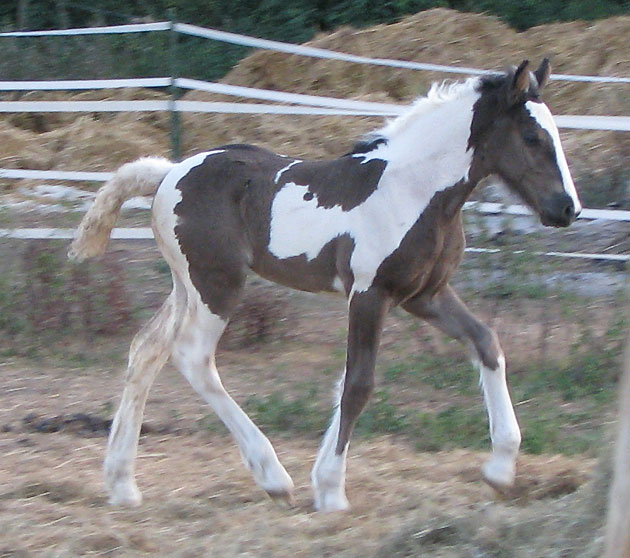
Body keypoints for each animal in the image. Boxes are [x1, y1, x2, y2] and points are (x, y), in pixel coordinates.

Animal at [69, 59, 584, 516]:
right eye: (533, 137)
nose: (567, 208)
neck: (413, 192)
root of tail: (167, 174)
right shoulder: (369, 294)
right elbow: (358, 383)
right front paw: (331, 489)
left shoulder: (425, 295)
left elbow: (485, 342)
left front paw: (500, 468)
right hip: (217, 284)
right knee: (192, 357)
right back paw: (273, 477)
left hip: (186, 286)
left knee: (146, 350)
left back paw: (122, 484)